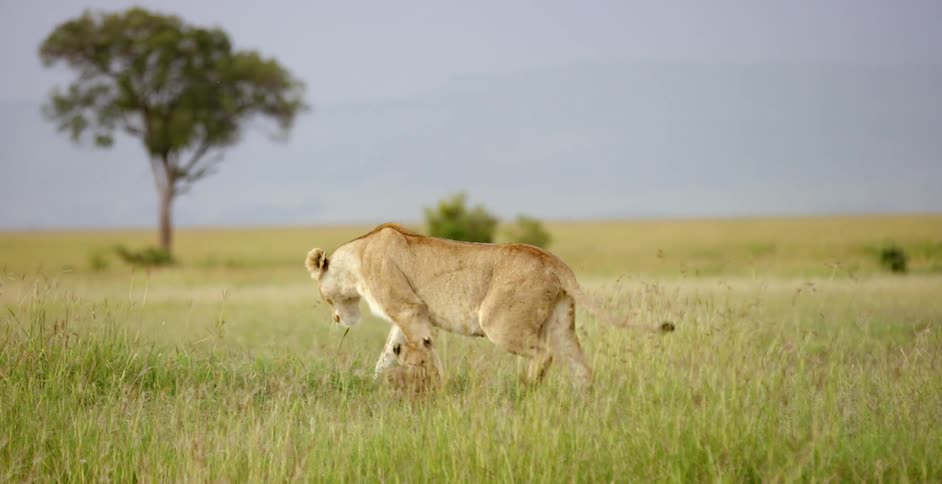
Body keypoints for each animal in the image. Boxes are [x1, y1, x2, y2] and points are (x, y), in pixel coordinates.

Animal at [304, 223, 670, 388]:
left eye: (324, 297)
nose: (337, 318)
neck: (356, 259)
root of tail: (554, 261)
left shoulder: (409, 309)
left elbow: (425, 351)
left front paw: (440, 388)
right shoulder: (407, 315)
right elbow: (386, 355)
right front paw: (374, 384)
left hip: (499, 323)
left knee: (543, 354)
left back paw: (526, 390)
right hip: (561, 322)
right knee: (582, 367)